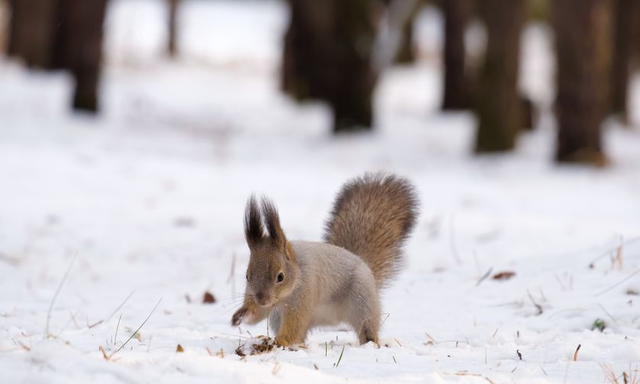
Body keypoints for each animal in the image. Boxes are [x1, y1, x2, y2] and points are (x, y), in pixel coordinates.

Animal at [232, 172, 418, 346]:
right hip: (278, 316)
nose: (262, 299)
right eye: (247, 276)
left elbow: (295, 322)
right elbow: (259, 314)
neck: (297, 271)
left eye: (280, 277)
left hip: (363, 302)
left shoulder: (304, 295)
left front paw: (281, 341)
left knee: (366, 329)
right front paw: (241, 316)